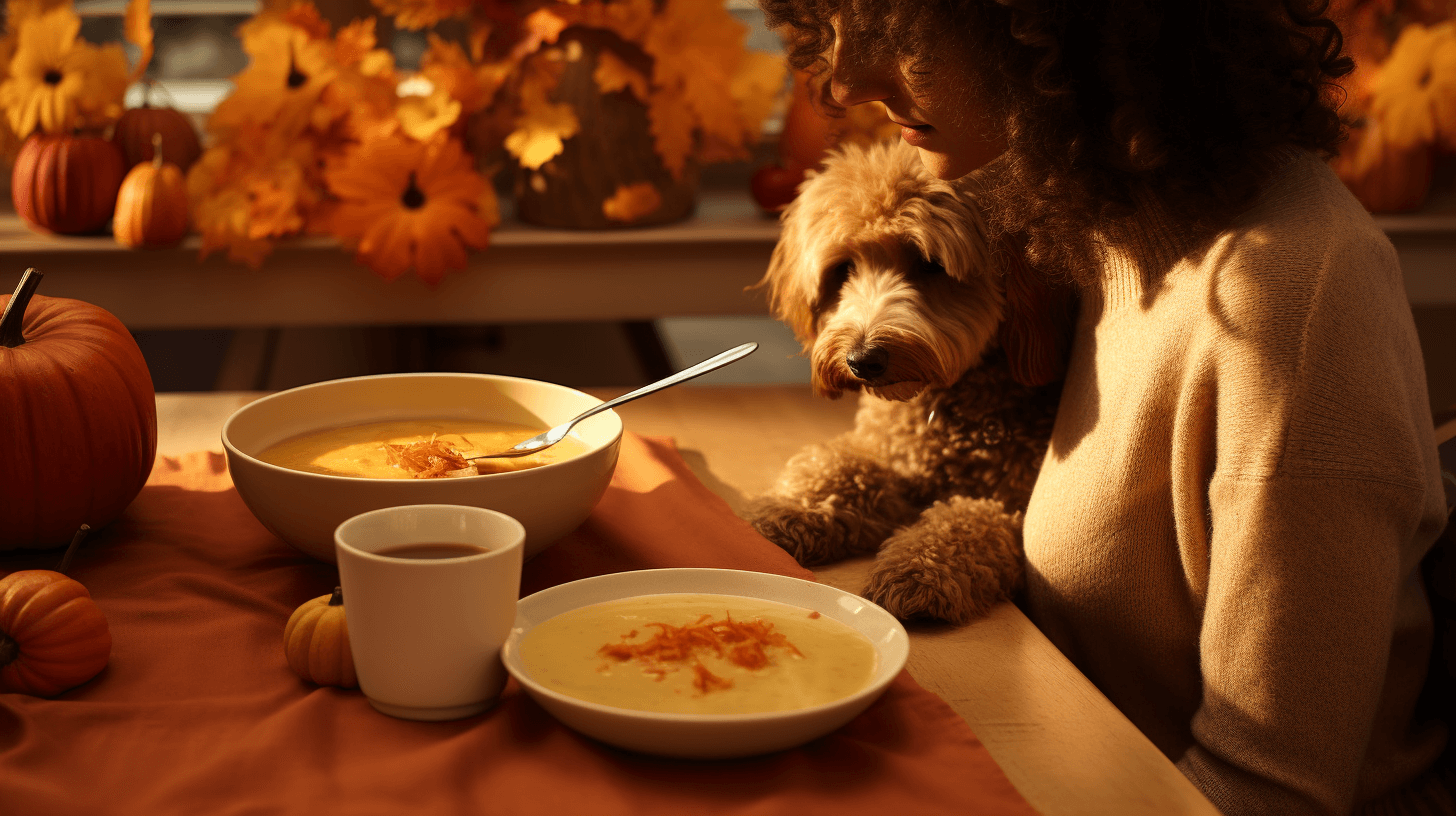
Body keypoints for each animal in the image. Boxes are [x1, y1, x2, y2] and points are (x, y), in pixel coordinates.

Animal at [751, 142, 1071, 623]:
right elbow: (842, 468)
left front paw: (919, 570)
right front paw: (789, 511)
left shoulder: (1011, 503)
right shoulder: (885, 456)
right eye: (843, 269)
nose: (862, 360)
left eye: (929, 264)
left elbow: (970, 521)